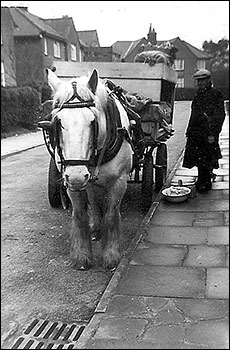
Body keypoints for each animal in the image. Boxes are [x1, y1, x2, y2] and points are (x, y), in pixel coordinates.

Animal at [38, 69, 134, 270]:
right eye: (58, 122)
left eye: (92, 121)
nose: (76, 177)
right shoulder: (71, 182)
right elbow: (81, 214)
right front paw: (81, 256)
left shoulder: (119, 181)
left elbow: (111, 215)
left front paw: (111, 255)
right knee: (92, 197)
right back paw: (95, 226)